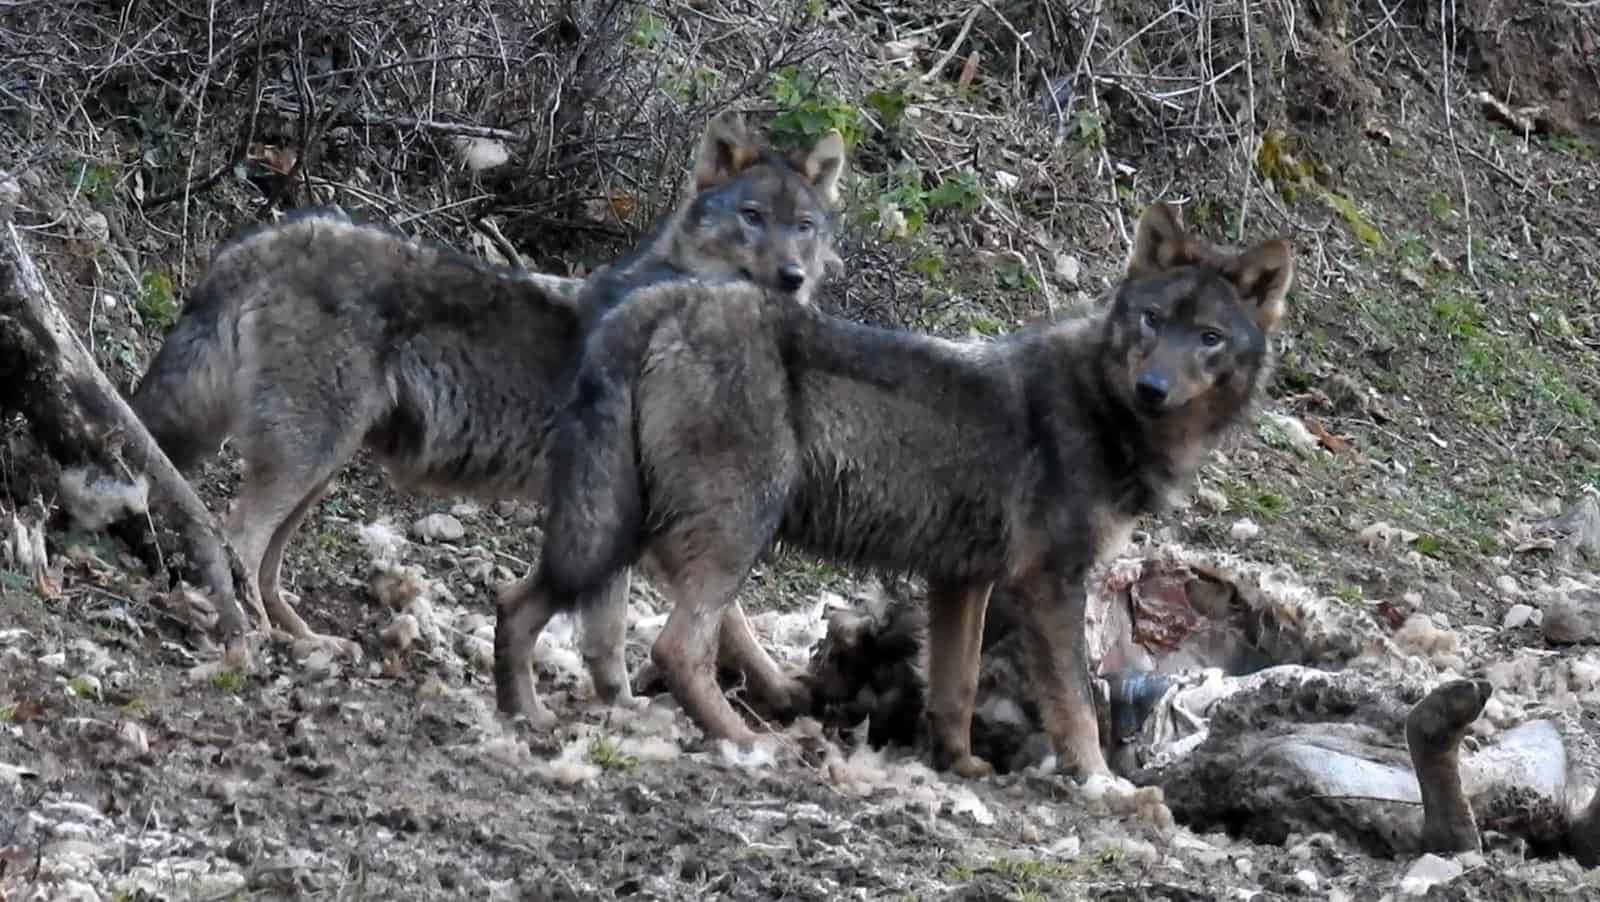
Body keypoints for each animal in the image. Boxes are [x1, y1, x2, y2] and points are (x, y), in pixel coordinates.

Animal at [112, 107, 851, 713]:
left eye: (804, 228)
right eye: (752, 217)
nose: (792, 278)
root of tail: (258, 240)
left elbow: (671, 625)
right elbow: (700, 620)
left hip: (320, 465)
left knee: (264, 563)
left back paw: (306, 638)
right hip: (305, 458)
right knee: (236, 537)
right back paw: (259, 639)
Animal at [492, 200, 1292, 777]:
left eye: (1208, 339)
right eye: (1152, 320)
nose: (1153, 388)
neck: (1107, 412)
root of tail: (658, 301)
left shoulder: (962, 579)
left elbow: (956, 689)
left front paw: (961, 764)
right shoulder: (1049, 585)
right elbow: (1074, 709)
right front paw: (1106, 789)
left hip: (623, 529)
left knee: (516, 603)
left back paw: (523, 717)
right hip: (728, 531)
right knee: (676, 649)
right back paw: (752, 742)